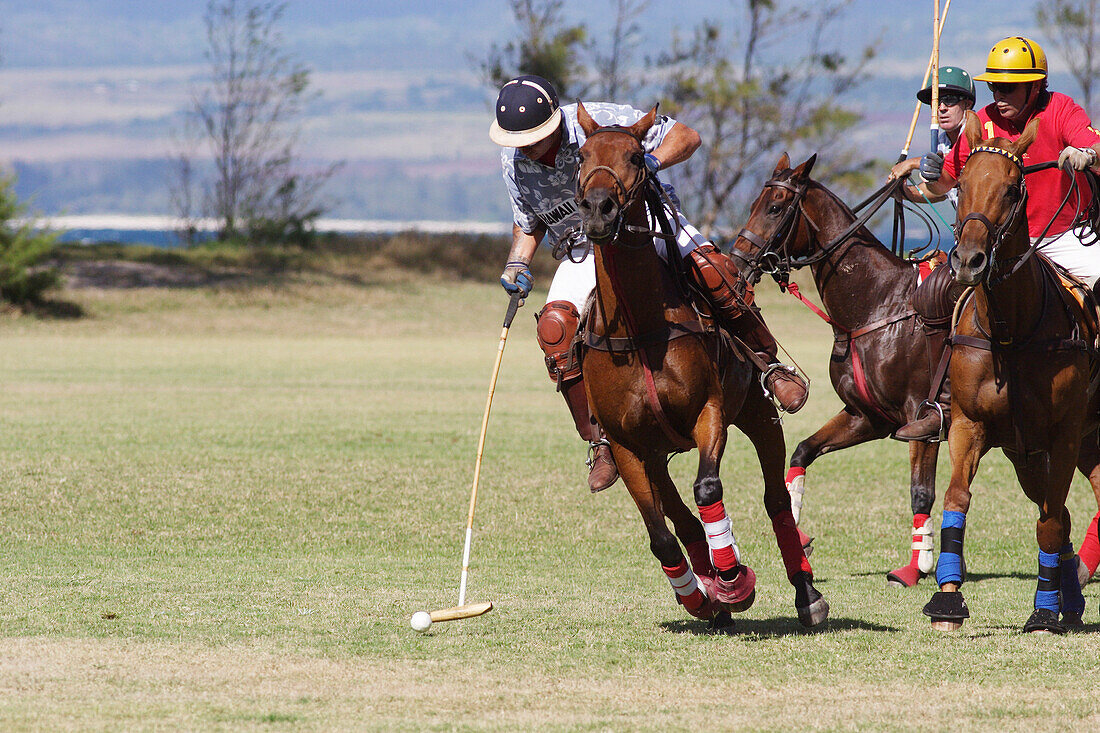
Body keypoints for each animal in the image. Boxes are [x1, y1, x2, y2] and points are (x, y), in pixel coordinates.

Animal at [576, 104, 827, 629]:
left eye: (637, 156)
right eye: (581, 156)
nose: (597, 210)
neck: (640, 327)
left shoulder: (708, 412)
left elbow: (709, 488)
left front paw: (734, 581)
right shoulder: (629, 446)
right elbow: (661, 534)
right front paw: (701, 596)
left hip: (757, 411)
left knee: (775, 500)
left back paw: (804, 593)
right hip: (655, 455)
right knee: (680, 519)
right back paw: (708, 593)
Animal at [730, 155, 946, 589]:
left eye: (774, 207)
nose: (736, 264)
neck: (877, 306)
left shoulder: (921, 418)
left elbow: (921, 491)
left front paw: (916, 567)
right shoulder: (868, 417)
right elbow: (803, 449)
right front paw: (796, 532)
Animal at [919, 117, 1100, 629]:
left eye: (1012, 188)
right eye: (961, 184)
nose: (967, 261)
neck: (1011, 331)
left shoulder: (1063, 433)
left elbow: (1050, 521)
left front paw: (1043, 612)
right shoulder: (969, 424)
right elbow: (956, 499)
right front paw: (947, 600)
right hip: (1037, 454)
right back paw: (1071, 600)